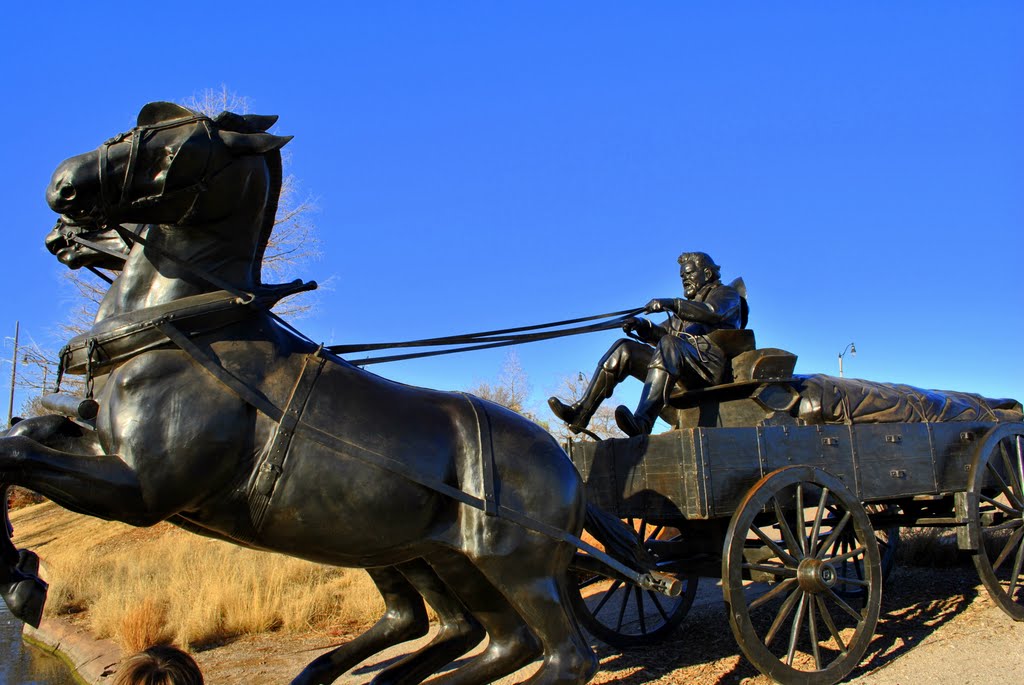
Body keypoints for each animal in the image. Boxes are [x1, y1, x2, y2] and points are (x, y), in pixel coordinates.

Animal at [6, 101, 598, 683]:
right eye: (136, 125)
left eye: (172, 144)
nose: (63, 189)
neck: (180, 329)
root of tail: (563, 460)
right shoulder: (109, 454)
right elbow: (27, 433)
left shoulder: (145, 490)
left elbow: (16, 454)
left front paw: (22, 582)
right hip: (440, 554)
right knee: (495, 639)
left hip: (514, 566)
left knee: (566, 656)